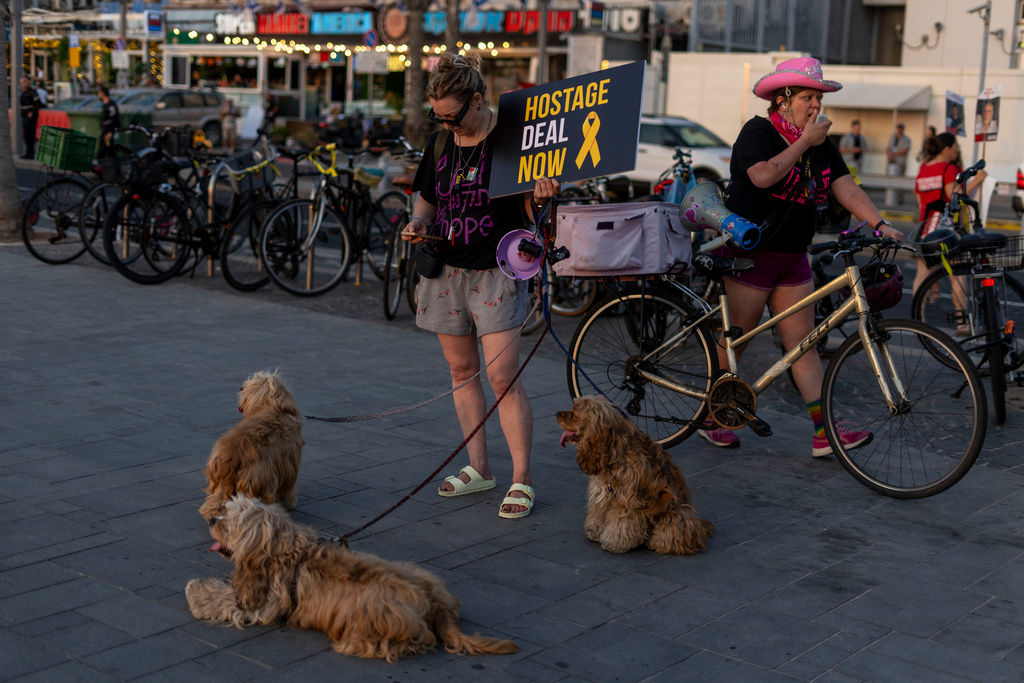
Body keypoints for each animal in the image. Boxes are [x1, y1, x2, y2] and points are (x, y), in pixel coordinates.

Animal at [185, 497, 520, 663]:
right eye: (224, 512)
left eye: (232, 522)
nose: (212, 520)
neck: (282, 547)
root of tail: (438, 607)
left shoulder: (267, 603)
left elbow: (230, 602)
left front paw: (197, 593)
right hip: (420, 572)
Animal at [197, 370, 303, 520]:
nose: (241, 387)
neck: (274, 406)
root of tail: (232, 455)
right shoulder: (290, 464)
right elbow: (287, 487)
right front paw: (289, 502)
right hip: (255, 479)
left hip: (221, 480)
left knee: (218, 501)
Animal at [561, 395, 712, 557]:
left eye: (575, 413)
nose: (557, 414)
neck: (612, 449)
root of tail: (700, 526)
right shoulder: (603, 492)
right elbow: (599, 512)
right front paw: (594, 531)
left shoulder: (629, 500)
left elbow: (623, 523)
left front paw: (615, 543)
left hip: (677, 514)